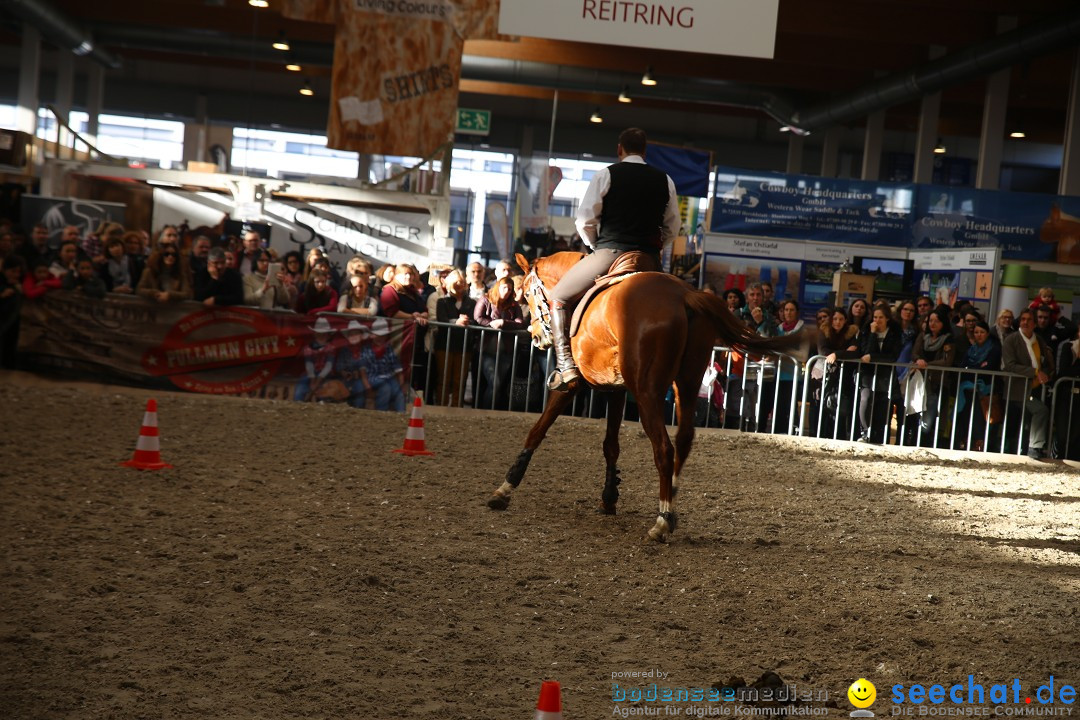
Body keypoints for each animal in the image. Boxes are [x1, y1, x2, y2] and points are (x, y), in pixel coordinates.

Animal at [486, 253, 799, 539]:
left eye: (526, 293)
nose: (535, 337)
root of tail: (685, 296)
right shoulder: (616, 389)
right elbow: (610, 445)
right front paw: (609, 497)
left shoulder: (575, 386)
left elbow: (538, 430)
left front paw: (504, 489)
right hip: (686, 383)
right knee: (684, 438)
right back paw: (672, 500)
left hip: (648, 392)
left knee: (663, 448)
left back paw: (662, 520)